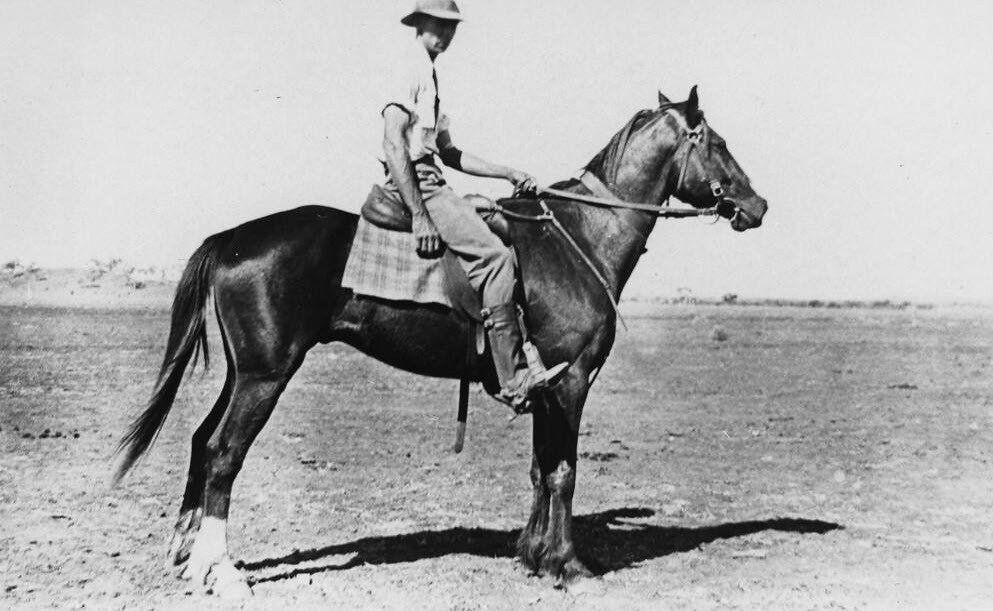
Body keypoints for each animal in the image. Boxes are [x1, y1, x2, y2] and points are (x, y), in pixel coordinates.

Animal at [114, 86, 768, 597]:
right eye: (714, 141)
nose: (757, 205)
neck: (579, 237)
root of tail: (232, 237)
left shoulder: (543, 388)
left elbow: (539, 469)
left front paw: (532, 554)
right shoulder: (572, 381)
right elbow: (563, 470)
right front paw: (567, 565)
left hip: (243, 372)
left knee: (201, 442)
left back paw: (184, 555)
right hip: (265, 376)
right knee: (224, 452)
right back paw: (219, 570)